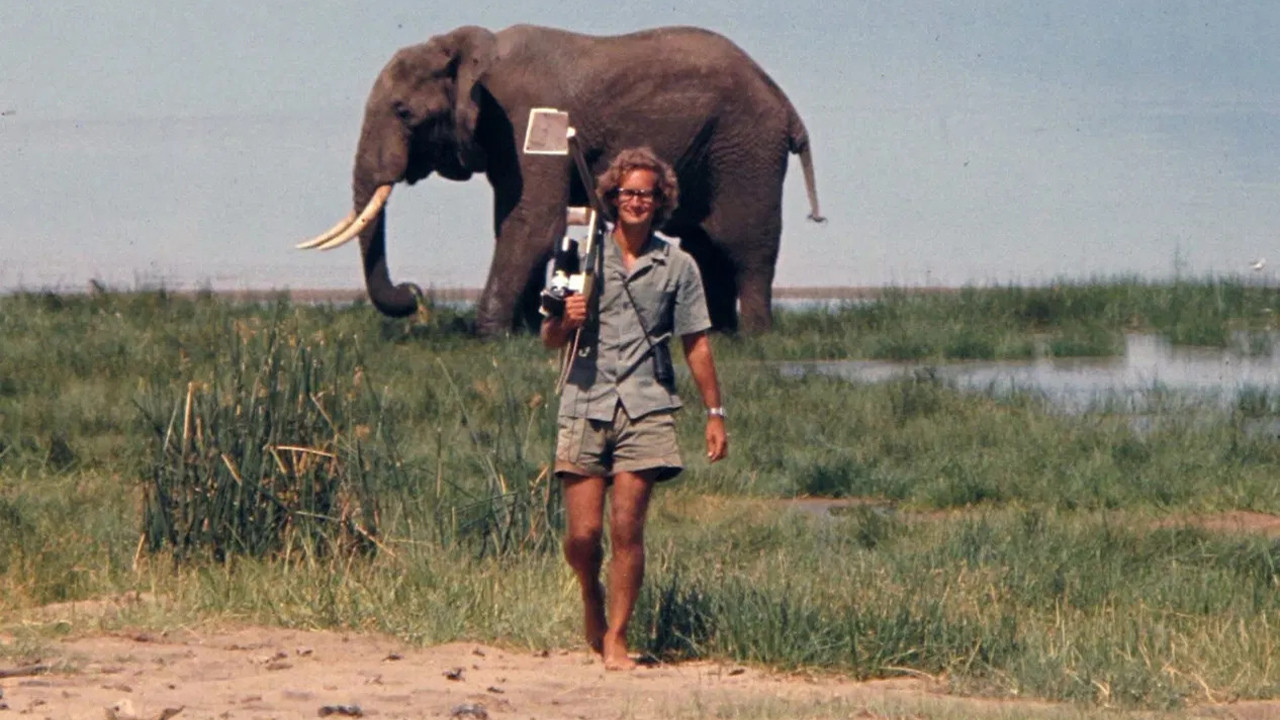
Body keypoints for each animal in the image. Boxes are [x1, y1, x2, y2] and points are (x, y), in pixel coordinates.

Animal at [300, 24, 824, 334]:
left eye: (404, 113)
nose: (414, 294)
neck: (469, 51)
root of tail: (788, 107)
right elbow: (514, 222)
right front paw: (526, 331)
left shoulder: (528, 116)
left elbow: (534, 222)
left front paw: (489, 336)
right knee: (705, 244)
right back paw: (715, 332)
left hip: (747, 150)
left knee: (743, 244)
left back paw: (751, 337)